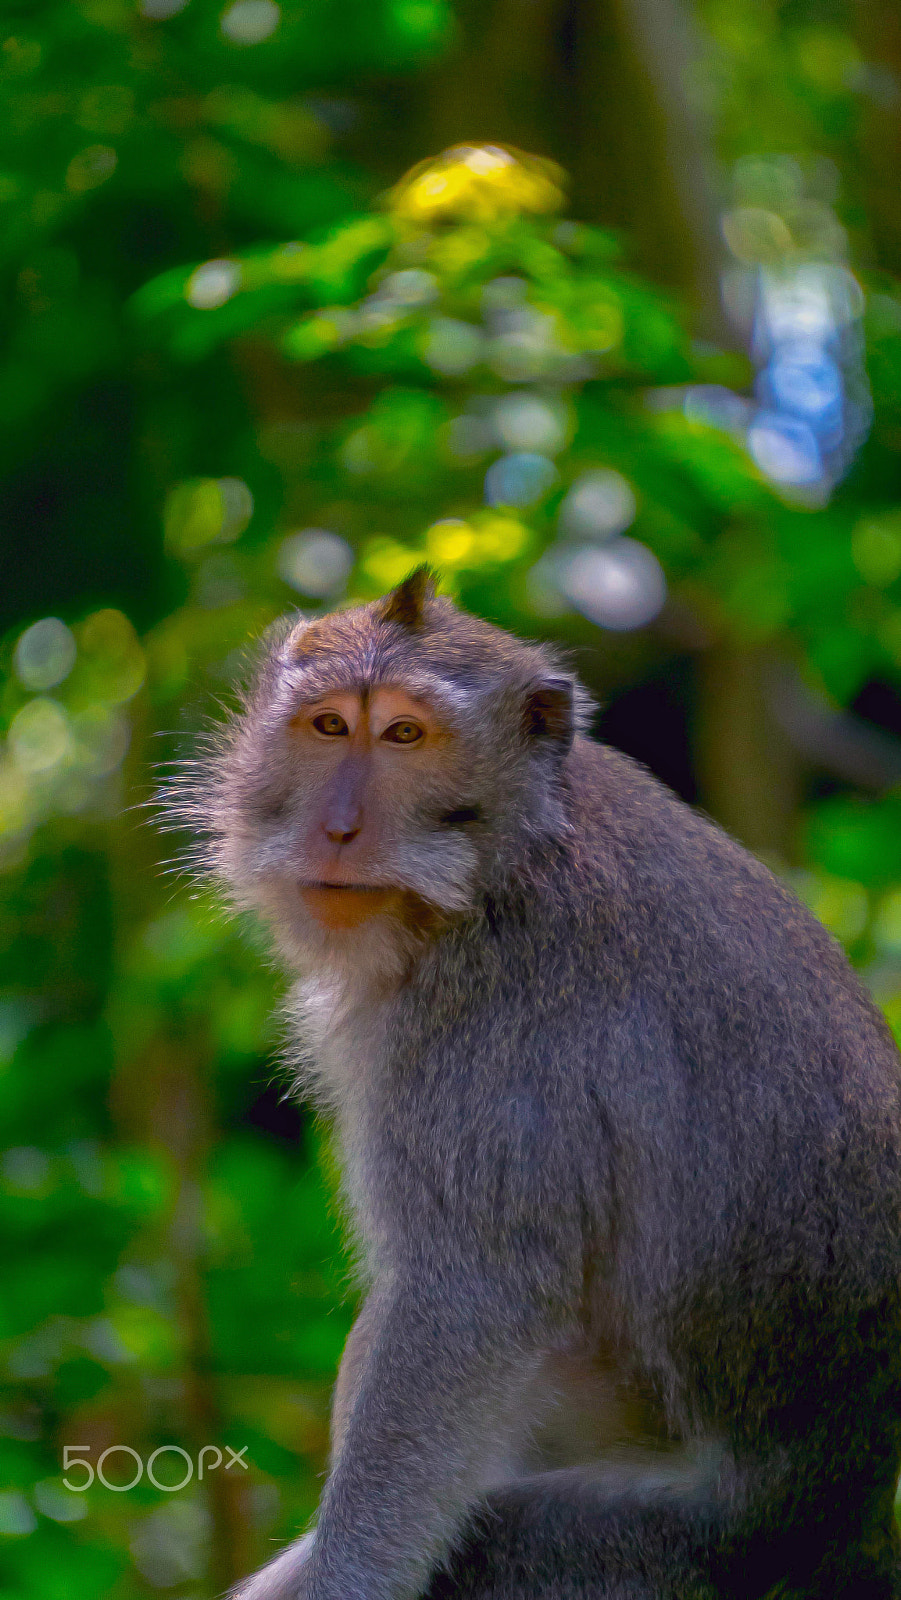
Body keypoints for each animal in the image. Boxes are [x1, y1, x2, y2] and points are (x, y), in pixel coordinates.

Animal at [167, 566, 901, 1599]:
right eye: (328, 727)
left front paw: (340, 1576)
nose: (338, 828)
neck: (499, 864)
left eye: (406, 735)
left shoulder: (490, 1031)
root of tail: (846, 1519)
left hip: (634, 1552)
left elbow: (467, 1304)